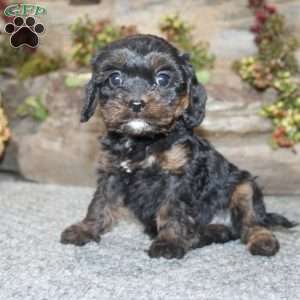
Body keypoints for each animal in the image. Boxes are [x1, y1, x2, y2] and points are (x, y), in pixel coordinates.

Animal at [60, 33, 296, 258]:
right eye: (115, 78)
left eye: (163, 79)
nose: (136, 103)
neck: (143, 140)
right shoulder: (112, 172)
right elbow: (100, 203)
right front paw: (85, 229)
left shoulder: (178, 177)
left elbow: (172, 210)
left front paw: (169, 243)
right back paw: (204, 235)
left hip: (244, 187)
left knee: (252, 223)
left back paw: (262, 241)